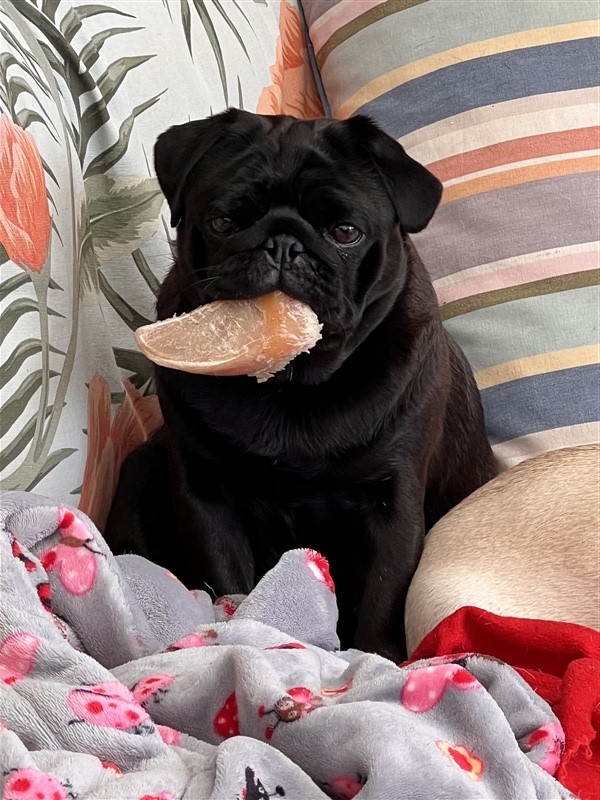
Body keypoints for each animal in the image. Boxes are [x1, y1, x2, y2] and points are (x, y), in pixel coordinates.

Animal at [105, 109, 497, 660]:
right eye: (224, 223)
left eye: (346, 232)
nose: (283, 243)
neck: (291, 382)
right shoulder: (207, 496)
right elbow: (231, 585)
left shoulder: (394, 509)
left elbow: (381, 603)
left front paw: (374, 659)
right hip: (142, 467)